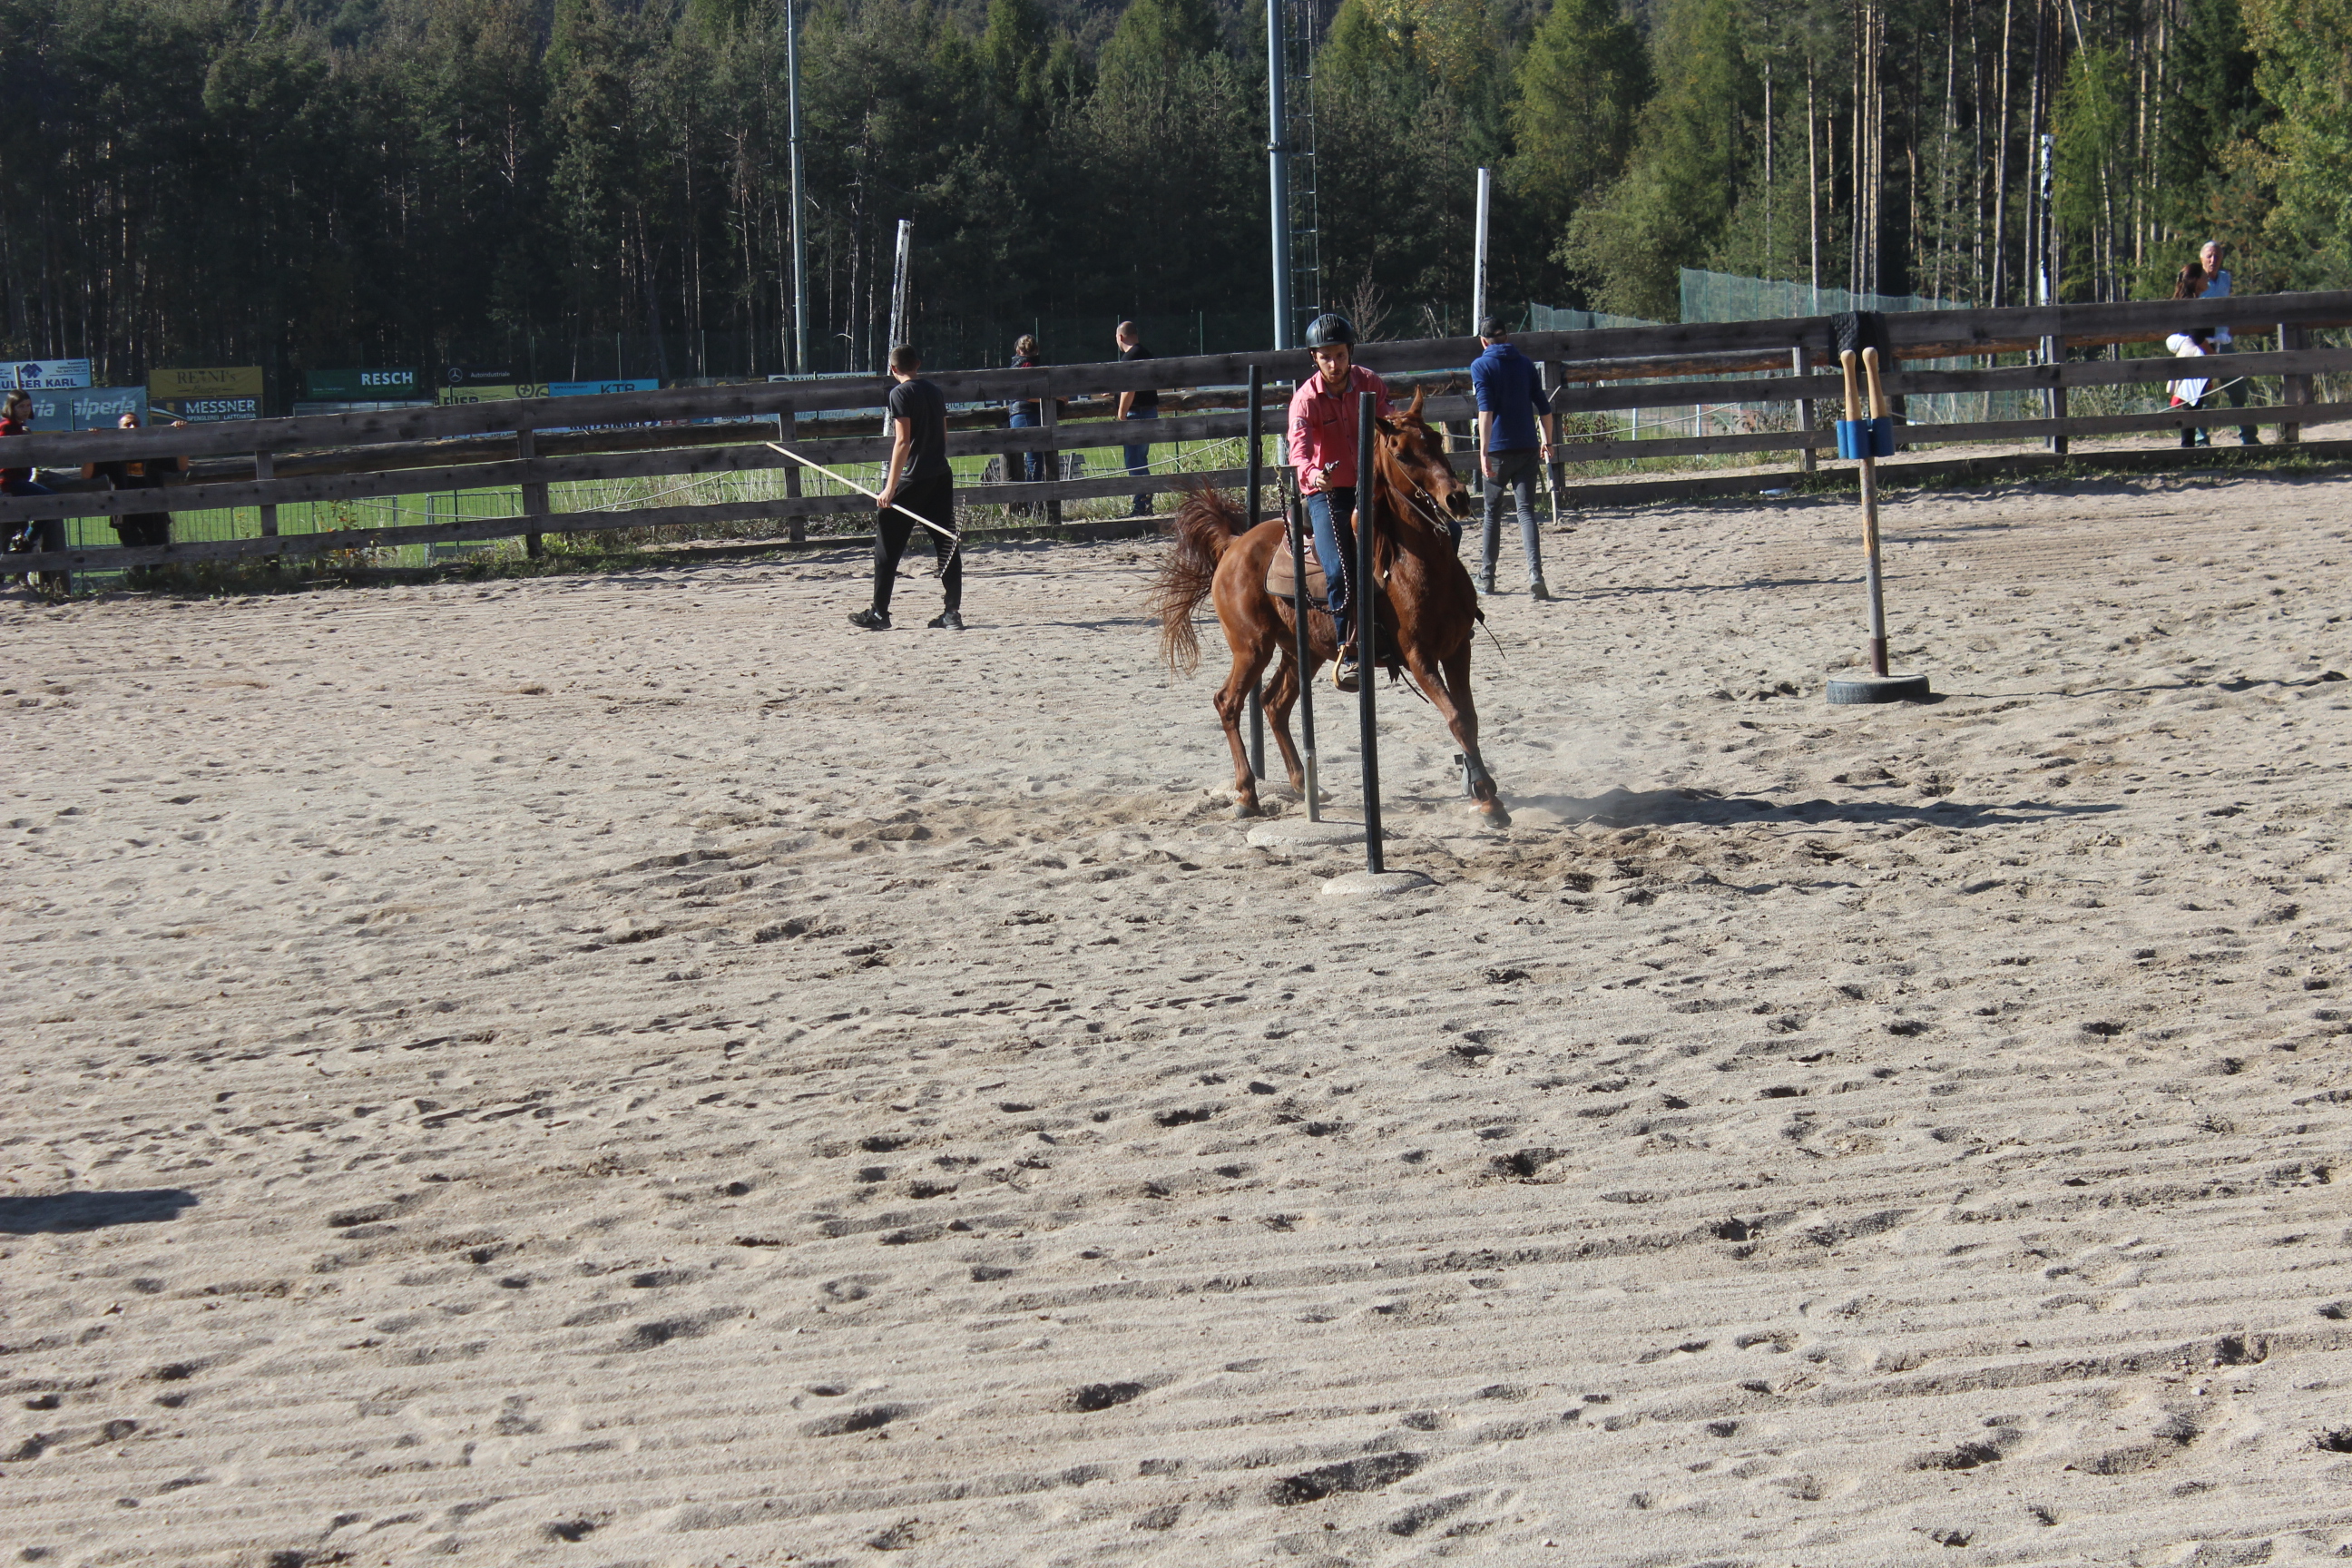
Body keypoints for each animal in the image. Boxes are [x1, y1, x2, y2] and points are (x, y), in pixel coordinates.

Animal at [1148, 387, 1511, 827]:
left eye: (1436, 439)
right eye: (1401, 453)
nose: (1456, 497)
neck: (1418, 563)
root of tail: (1233, 544)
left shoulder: (1458, 648)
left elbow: (1469, 718)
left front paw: (1484, 793)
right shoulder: (1418, 655)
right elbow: (1456, 717)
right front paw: (1488, 799)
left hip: (1302, 650)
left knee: (1273, 704)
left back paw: (1305, 786)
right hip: (1252, 647)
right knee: (1228, 703)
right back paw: (1247, 794)